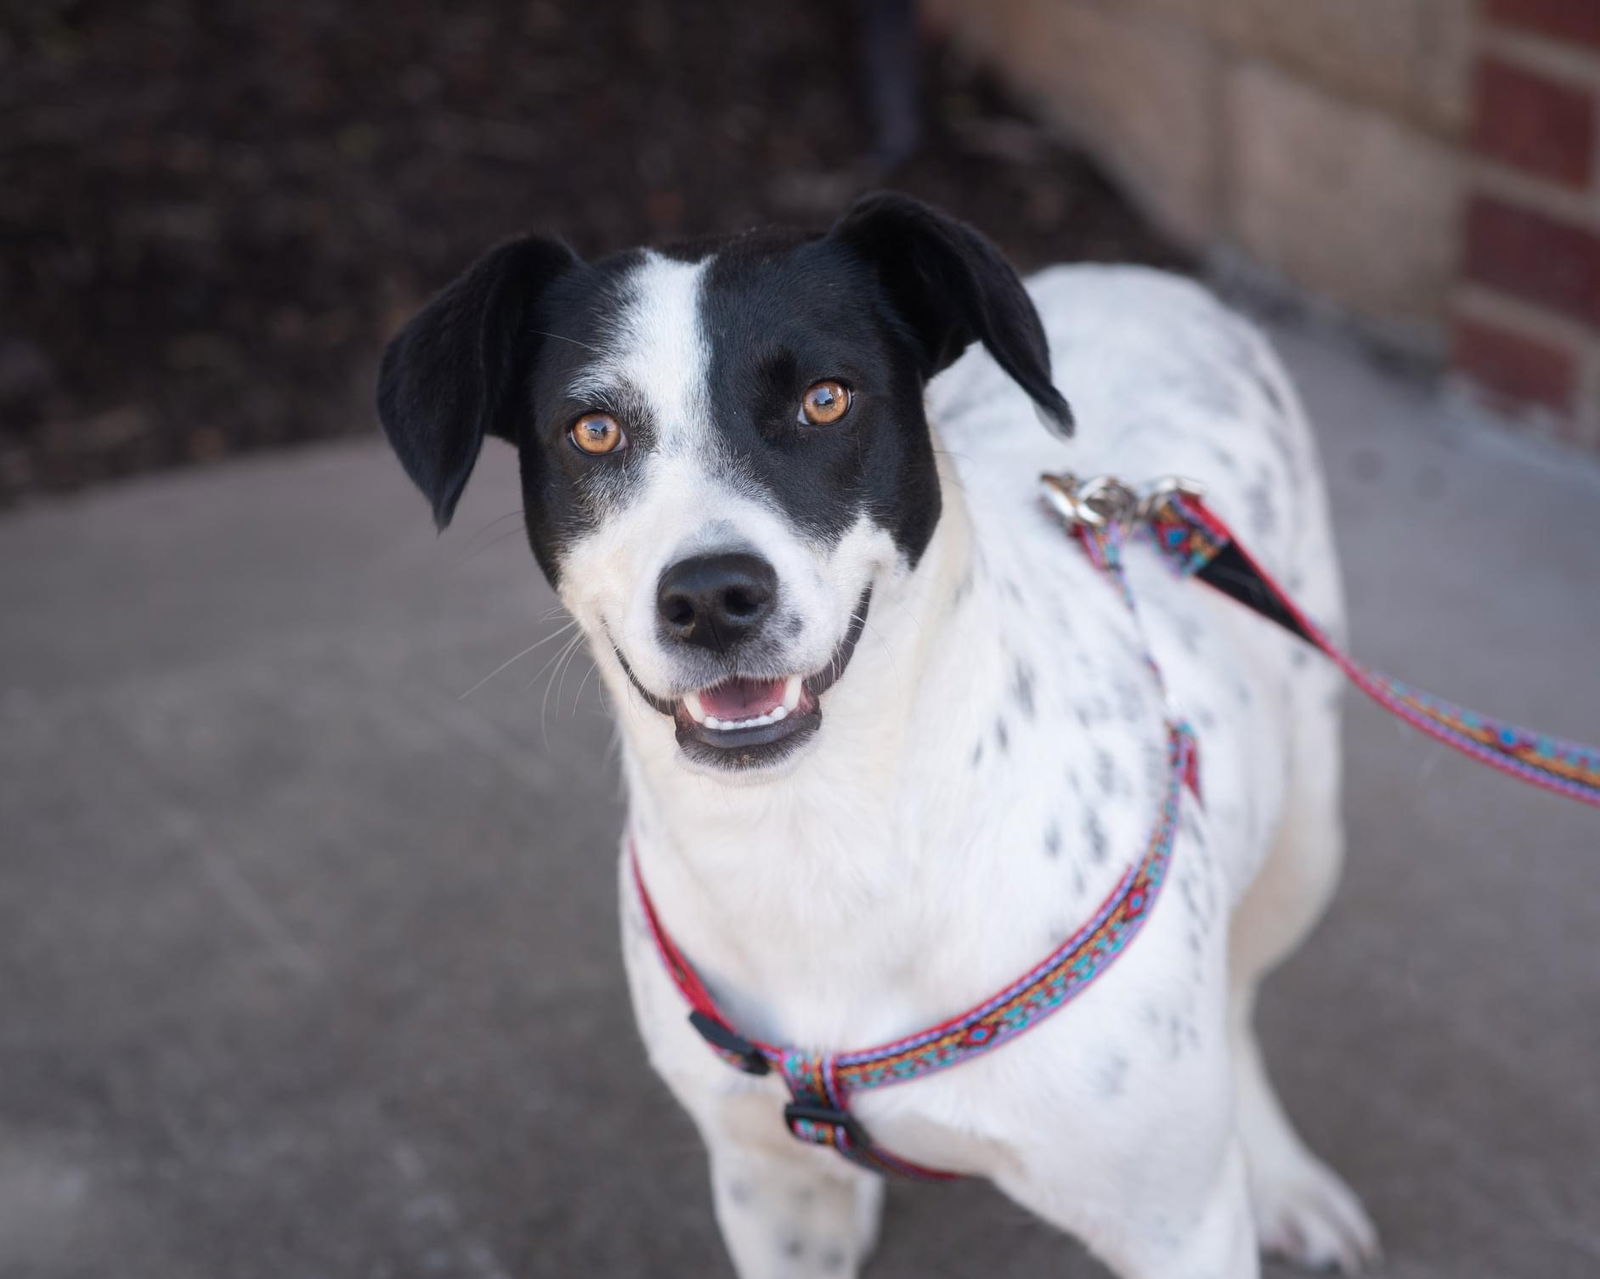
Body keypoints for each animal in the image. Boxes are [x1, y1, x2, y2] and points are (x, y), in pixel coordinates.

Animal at [374, 192, 1376, 1279]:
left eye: (825, 400)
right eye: (593, 429)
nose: (711, 597)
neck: (812, 838)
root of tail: (1141, 274)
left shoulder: (1172, 1227)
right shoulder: (766, 1190)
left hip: (1307, 836)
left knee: (1238, 991)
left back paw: (1283, 1176)